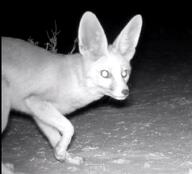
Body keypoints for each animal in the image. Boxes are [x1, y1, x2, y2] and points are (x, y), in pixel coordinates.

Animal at [1, 11, 142, 173]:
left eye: (124, 73)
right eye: (105, 74)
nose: (125, 92)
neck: (73, 80)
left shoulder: (38, 116)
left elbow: (56, 137)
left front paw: (63, 155)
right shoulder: (35, 101)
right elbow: (69, 127)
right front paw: (62, 153)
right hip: (4, 114)